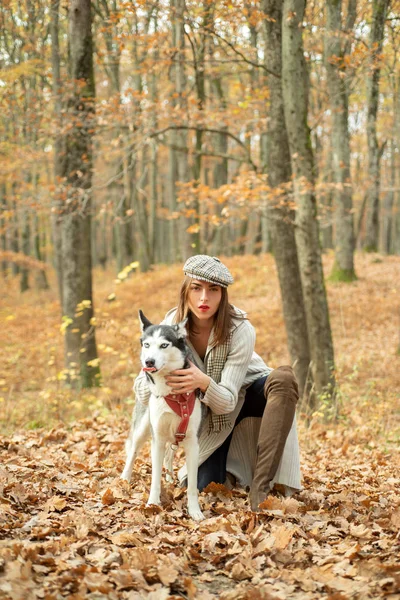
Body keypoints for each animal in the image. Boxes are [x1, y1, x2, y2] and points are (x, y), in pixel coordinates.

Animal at [122, 310, 205, 520]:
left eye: (164, 345)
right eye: (147, 345)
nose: (148, 361)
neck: (173, 394)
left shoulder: (192, 443)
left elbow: (192, 485)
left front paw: (195, 511)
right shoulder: (157, 439)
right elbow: (154, 479)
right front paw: (153, 503)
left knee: (170, 454)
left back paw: (168, 475)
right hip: (143, 428)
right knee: (133, 452)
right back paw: (124, 478)